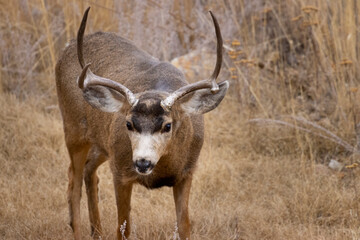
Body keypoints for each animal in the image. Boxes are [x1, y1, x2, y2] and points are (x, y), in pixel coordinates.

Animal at [54, 6, 228, 239]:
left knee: (89, 170)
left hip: (102, 142)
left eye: (168, 125)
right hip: (73, 127)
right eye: (129, 124)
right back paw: (79, 230)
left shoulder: (187, 172)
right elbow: (123, 228)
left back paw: (97, 231)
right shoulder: (120, 172)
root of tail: (66, 48)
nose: (143, 162)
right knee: (74, 179)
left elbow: (184, 226)